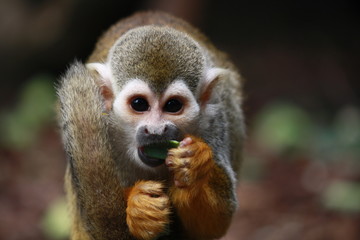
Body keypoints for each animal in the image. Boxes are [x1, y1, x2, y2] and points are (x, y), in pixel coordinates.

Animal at [57, 11, 245, 240]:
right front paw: (138, 206)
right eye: (139, 104)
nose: (155, 130)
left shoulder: (214, 123)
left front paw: (194, 165)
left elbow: (216, 224)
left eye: (173, 105)